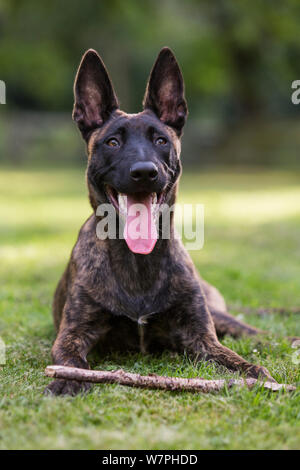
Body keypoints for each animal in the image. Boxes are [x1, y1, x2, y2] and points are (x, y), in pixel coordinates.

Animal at [44, 46, 276, 396]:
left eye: (161, 140)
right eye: (113, 142)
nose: (144, 172)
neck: (137, 263)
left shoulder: (201, 336)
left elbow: (237, 359)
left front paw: (258, 376)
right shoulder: (72, 333)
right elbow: (70, 358)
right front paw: (67, 380)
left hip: (220, 315)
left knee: (250, 331)